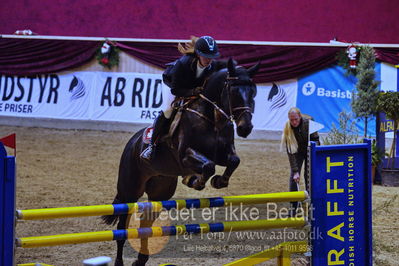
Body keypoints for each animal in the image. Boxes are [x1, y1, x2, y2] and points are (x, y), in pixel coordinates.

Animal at [103, 58, 260, 266]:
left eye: (253, 92)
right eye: (233, 91)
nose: (245, 128)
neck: (212, 117)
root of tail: (133, 142)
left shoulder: (222, 153)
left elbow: (234, 160)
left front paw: (218, 181)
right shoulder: (185, 156)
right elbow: (208, 166)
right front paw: (197, 181)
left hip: (160, 191)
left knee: (146, 222)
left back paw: (141, 259)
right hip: (130, 190)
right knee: (122, 227)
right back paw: (121, 261)